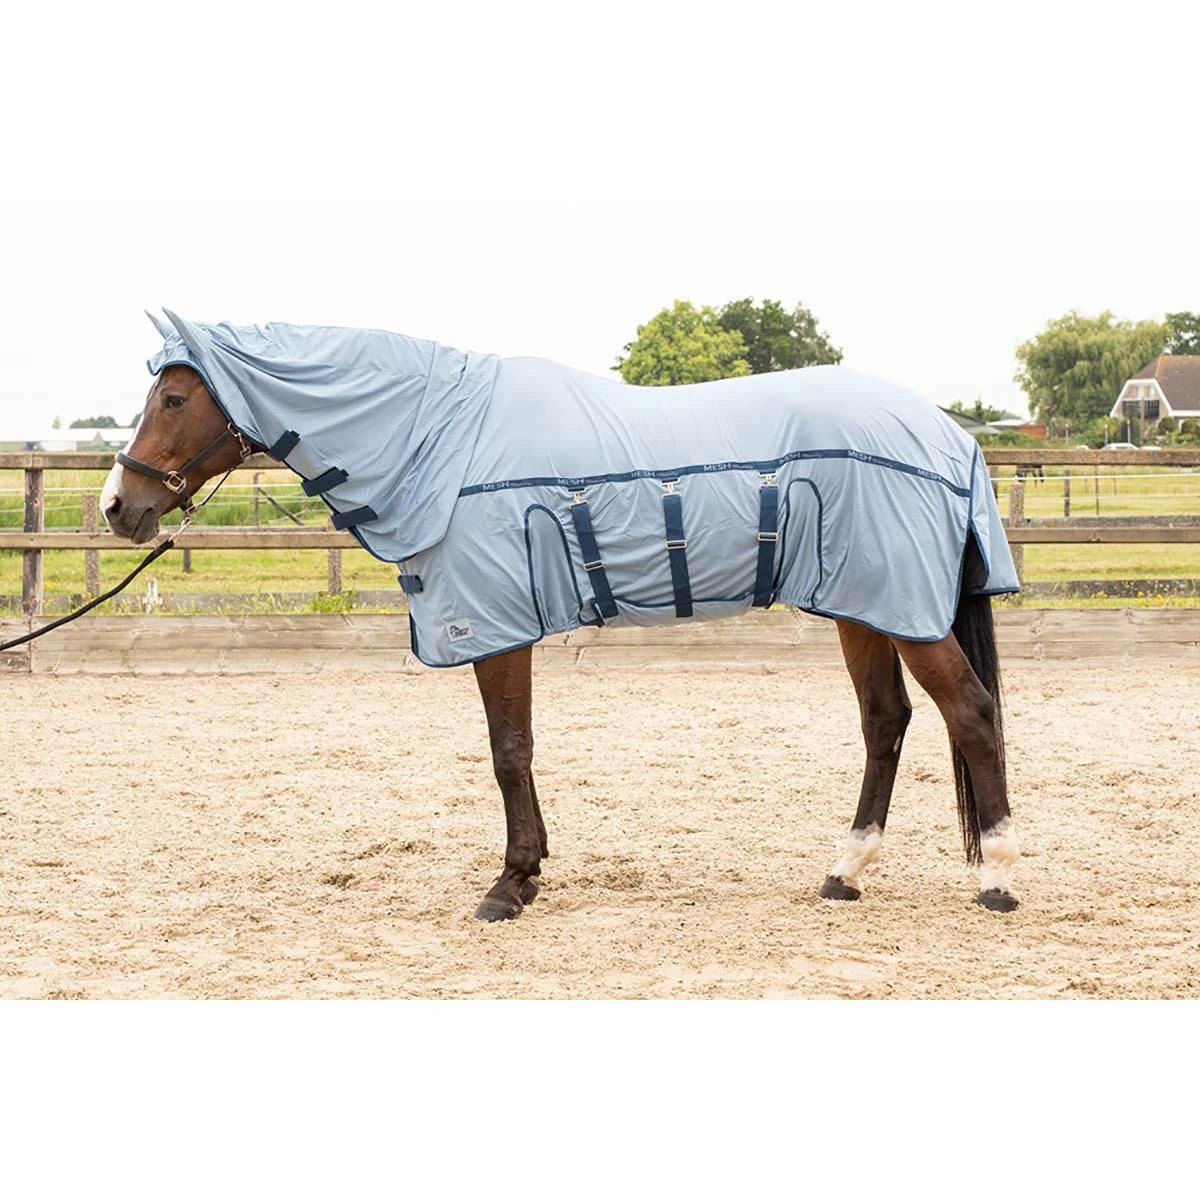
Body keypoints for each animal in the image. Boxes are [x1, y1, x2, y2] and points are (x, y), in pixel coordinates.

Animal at [101, 313, 1021, 921]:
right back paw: (845, 871)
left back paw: (1000, 877)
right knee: (886, 721)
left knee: (970, 714)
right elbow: (515, 752)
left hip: (902, 611)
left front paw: (510, 884)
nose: (118, 506)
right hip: (861, 606)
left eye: (175, 396)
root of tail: (950, 436)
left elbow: (509, 752)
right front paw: (529, 871)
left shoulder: (496, 626)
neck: (442, 444)